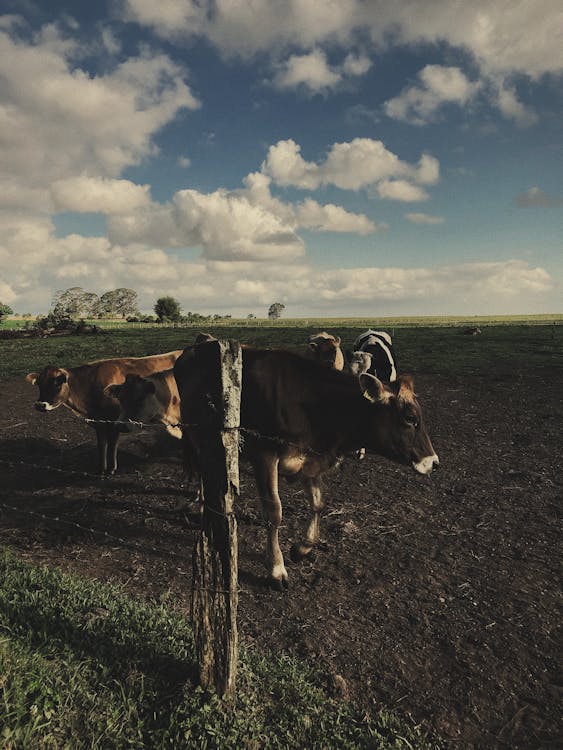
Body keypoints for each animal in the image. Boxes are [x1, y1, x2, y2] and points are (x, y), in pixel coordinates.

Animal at [24, 352, 183, 476]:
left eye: (57, 383)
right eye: (39, 384)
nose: (40, 405)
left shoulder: (114, 421)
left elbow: (112, 444)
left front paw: (111, 469)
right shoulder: (99, 422)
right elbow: (102, 445)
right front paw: (101, 469)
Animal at [174, 344, 438, 592]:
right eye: (410, 418)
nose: (433, 462)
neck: (312, 404)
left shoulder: (311, 459)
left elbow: (319, 503)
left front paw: (302, 548)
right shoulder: (264, 455)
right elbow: (274, 512)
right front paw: (276, 569)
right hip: (197, 434)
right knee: (202, 469)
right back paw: (200, 504)